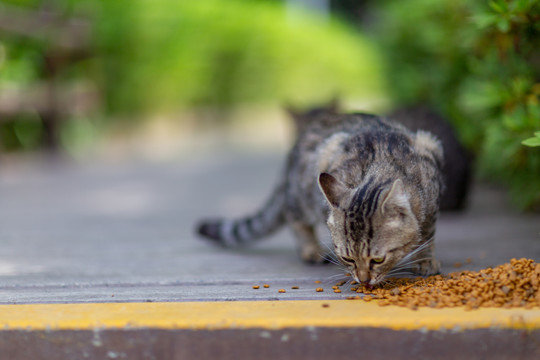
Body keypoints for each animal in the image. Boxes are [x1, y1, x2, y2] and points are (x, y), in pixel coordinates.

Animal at [195, 109, 442, 284]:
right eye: (348, 258)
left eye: (378, 259)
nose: (363, 281)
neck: (380, 167)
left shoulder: (432, 195)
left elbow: (427, 235)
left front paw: (425, 260)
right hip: (303, 192)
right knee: (295, 218)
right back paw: (311, 250)